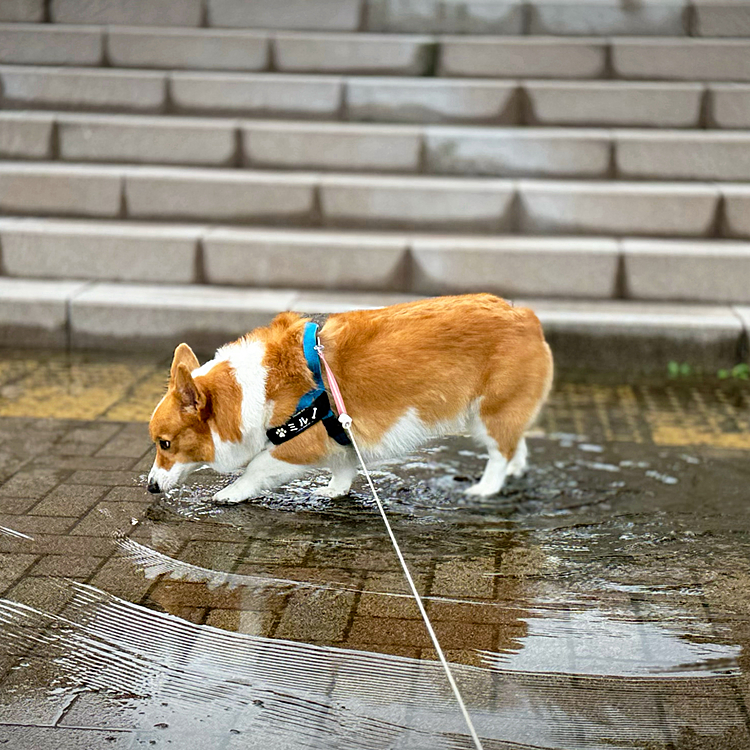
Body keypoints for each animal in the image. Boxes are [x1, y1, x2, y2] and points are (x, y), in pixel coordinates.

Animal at [148, 294, 552, 506]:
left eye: (165, 444)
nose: (149, 487)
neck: (245, 389)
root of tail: (525, 316)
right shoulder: (339, 436)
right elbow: (342, 467)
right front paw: (333, 491)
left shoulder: (299, 441)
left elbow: (257, 467)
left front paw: (231, 492)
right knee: (516, 443)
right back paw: (517, 470)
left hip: (489, 412)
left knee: (500, 451)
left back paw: (485, 488)